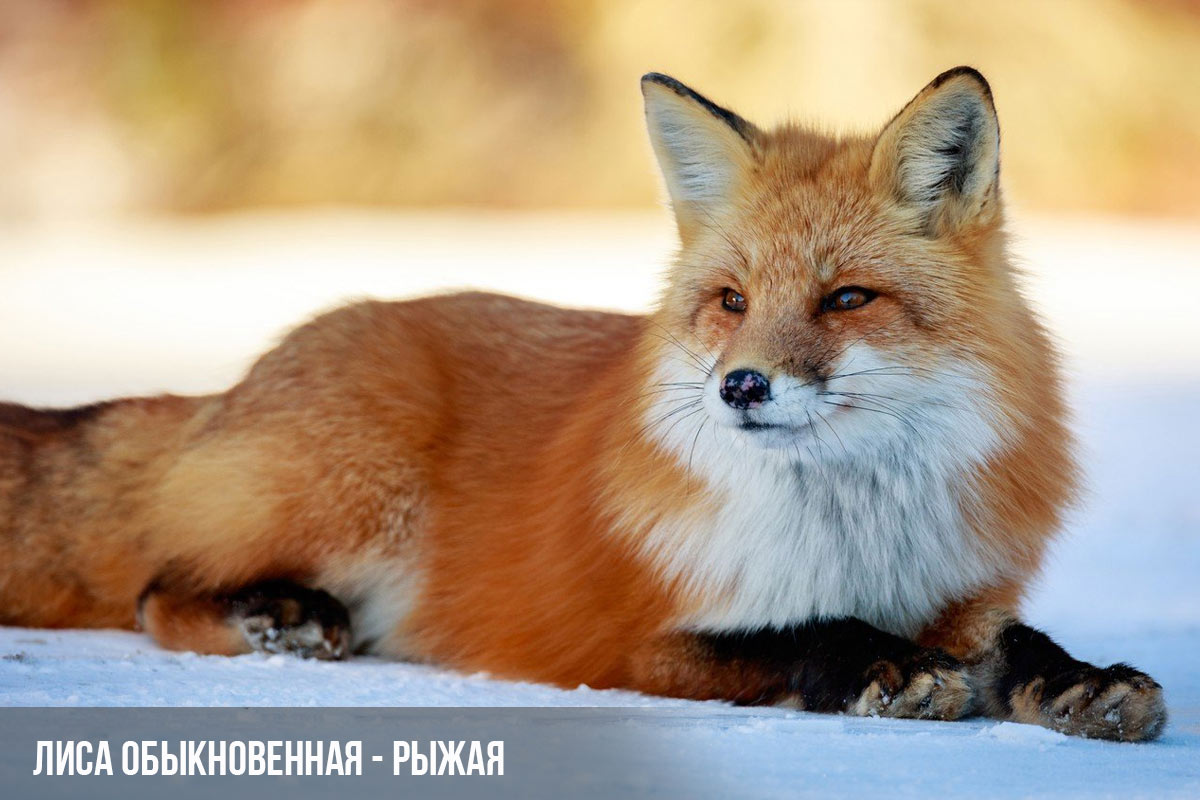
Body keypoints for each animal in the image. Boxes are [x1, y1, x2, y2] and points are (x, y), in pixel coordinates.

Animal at [0, 67, 1165, 741]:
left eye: (847, 299)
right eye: (732, 302)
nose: (742, 384)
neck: (852, 529)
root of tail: (244, 376)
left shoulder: (961, 597)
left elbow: (1021, 647)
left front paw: (1088, 682)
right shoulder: (640, 642)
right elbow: (801, 632)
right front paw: (875, 661)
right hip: (349, 495)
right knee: (159, 589)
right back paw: (280, 617)